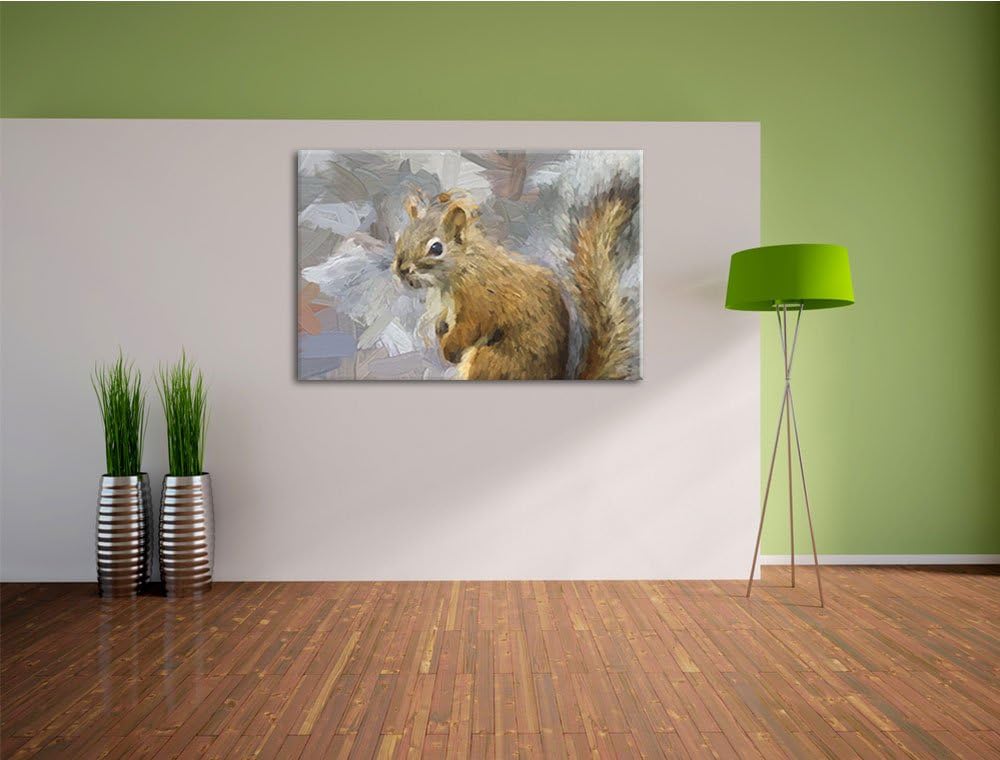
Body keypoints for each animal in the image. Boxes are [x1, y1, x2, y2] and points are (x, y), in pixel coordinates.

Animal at [392, 178, 639, 380]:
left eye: (436, 248)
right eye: (402, 237)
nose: (401, 269)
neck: (464, 267)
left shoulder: (480, 299)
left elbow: (472, 326)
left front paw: (449, 350)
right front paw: (440, 328)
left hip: (490, 361)